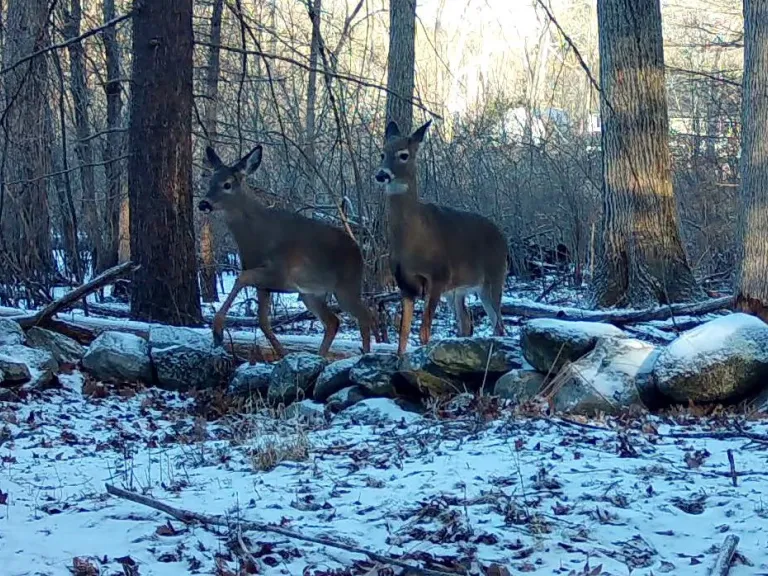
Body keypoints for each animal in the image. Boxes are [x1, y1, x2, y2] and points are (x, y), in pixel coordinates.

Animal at [198, 145, 373, 359]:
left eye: (227, 184)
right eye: (210, 182)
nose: (204, 203)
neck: (256, 236)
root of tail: (358, 251)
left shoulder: (280, 272)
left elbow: (241, 278)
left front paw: (217, 330)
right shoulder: (264, 284)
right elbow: (263, 321)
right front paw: (282, 353)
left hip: (346, 286)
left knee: (365, 315)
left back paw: (366, 354)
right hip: (311, 293)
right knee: (333, 321)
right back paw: (320, 355)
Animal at [374, 120, 508, 355]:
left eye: (404, 155)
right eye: (382, 153)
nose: (381, 175)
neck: (413, 240)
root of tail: (502, 236)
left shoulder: (438, 277)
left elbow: (424, 333)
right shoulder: (405, 285)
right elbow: (403, 336)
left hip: (494, 278)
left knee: (499, 325)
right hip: (457, 291)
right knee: (466, 322)